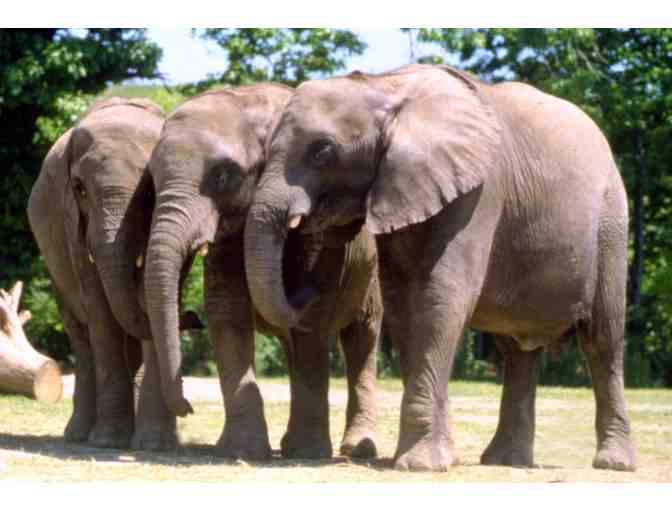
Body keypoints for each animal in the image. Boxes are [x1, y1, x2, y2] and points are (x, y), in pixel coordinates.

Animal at [27, 97, 178, 449]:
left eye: (150, 189)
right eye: (80, 189)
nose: (195, 318)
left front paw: (155, 442)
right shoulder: (72, 223)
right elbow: (100, 310)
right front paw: (108, 441)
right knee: (81, 336)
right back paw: (79, 435)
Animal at [144, 83, 382, 459]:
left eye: (223, 175)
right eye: (151, 179)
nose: (187, 407)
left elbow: (311, 327)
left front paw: (306, 453)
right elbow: (227, 313)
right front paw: (240, 450)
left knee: (362, 337)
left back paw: (354, 449)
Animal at [243, 64, 637, 472]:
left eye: (323, 150)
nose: (306, 287)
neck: (387, 86)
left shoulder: (480, 192)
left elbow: (441, 296)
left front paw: (419, 464)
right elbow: (403, 307)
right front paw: (440, 456)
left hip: (610, 224)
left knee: (602, 338)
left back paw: (613, 463)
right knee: (517, 351)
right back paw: (504, 461)